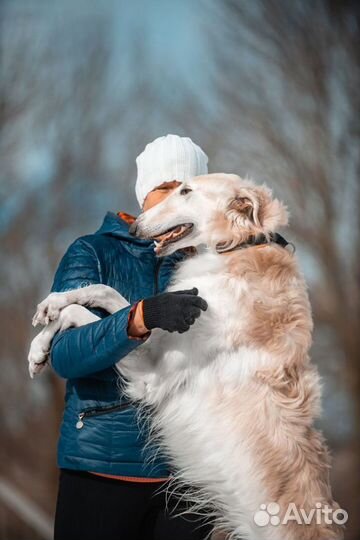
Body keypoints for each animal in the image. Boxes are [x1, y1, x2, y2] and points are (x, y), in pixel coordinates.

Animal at [28, 175, 344, 536]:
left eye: (186, 191)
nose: (135, 227)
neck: (239, 247)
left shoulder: (151, 372)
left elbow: (82, 313)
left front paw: (46, 331)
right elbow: (105, 296)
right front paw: (42, 335)